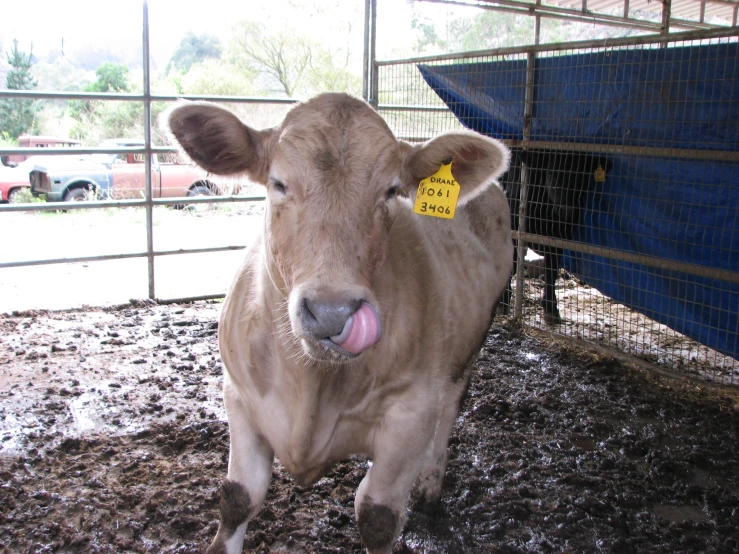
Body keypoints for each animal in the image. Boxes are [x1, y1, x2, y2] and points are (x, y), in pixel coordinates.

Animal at [164, 92, 512, 548]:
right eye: (278, 183)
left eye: (391, 190)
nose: (332, 312)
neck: (311, 387)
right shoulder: (239, 396)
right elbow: (238, 497)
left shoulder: (411, 416)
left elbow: (378, 516)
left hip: (468, 348)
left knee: (451, 407)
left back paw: (430, 485)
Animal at [502, 149, 612, 322]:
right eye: (552, 174)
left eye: (581, 177)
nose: (568, 210)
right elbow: (511, 264)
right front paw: (504, 300)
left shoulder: (560, 237)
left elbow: (551, 270)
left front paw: (550, 307)